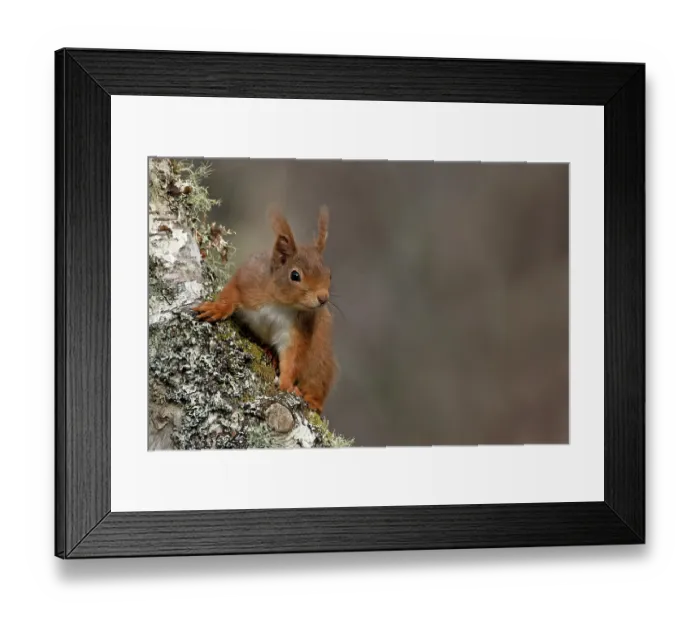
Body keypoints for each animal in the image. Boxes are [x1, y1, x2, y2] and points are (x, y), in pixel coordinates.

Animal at [193, 206, 336, 413]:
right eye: (295, 275)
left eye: (329, 275)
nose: (323, 298)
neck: (281, 305)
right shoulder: (249, 282)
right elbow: (231, 292)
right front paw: (216, 308)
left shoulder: (299, 329)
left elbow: (292, 357)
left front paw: (286, 383)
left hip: (320, 361)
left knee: (318, 381)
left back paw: (313, 400)